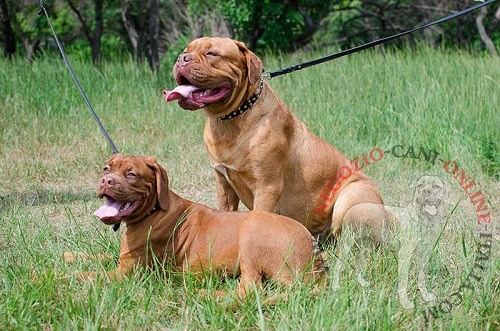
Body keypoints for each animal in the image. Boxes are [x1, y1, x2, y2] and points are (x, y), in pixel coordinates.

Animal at [69, 154, 328, 304]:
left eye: (131, 174)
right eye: (106, 169)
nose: (106, 181)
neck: (154, 209)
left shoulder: (127, 273)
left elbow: (85, 275)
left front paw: (62, 276)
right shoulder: (125, 259)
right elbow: (101, 257)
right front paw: (71, 255)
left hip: (251, 231)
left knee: (250, 290)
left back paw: (207, 295)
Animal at [162, 37, 396, 246]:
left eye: (212, 53)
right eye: (186, 50)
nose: (182, 58)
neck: (233, 117)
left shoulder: (266, 186)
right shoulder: (224, 184)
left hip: (350, 198)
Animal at [386, 176, 446, 312]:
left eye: (436, 186)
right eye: (420, 185)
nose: (426, 191)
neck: (426, 221)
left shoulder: (426, 253)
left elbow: (422, 275)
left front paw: (424, 294)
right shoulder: (405, 254)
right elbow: (404, 280)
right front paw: (404, 302)